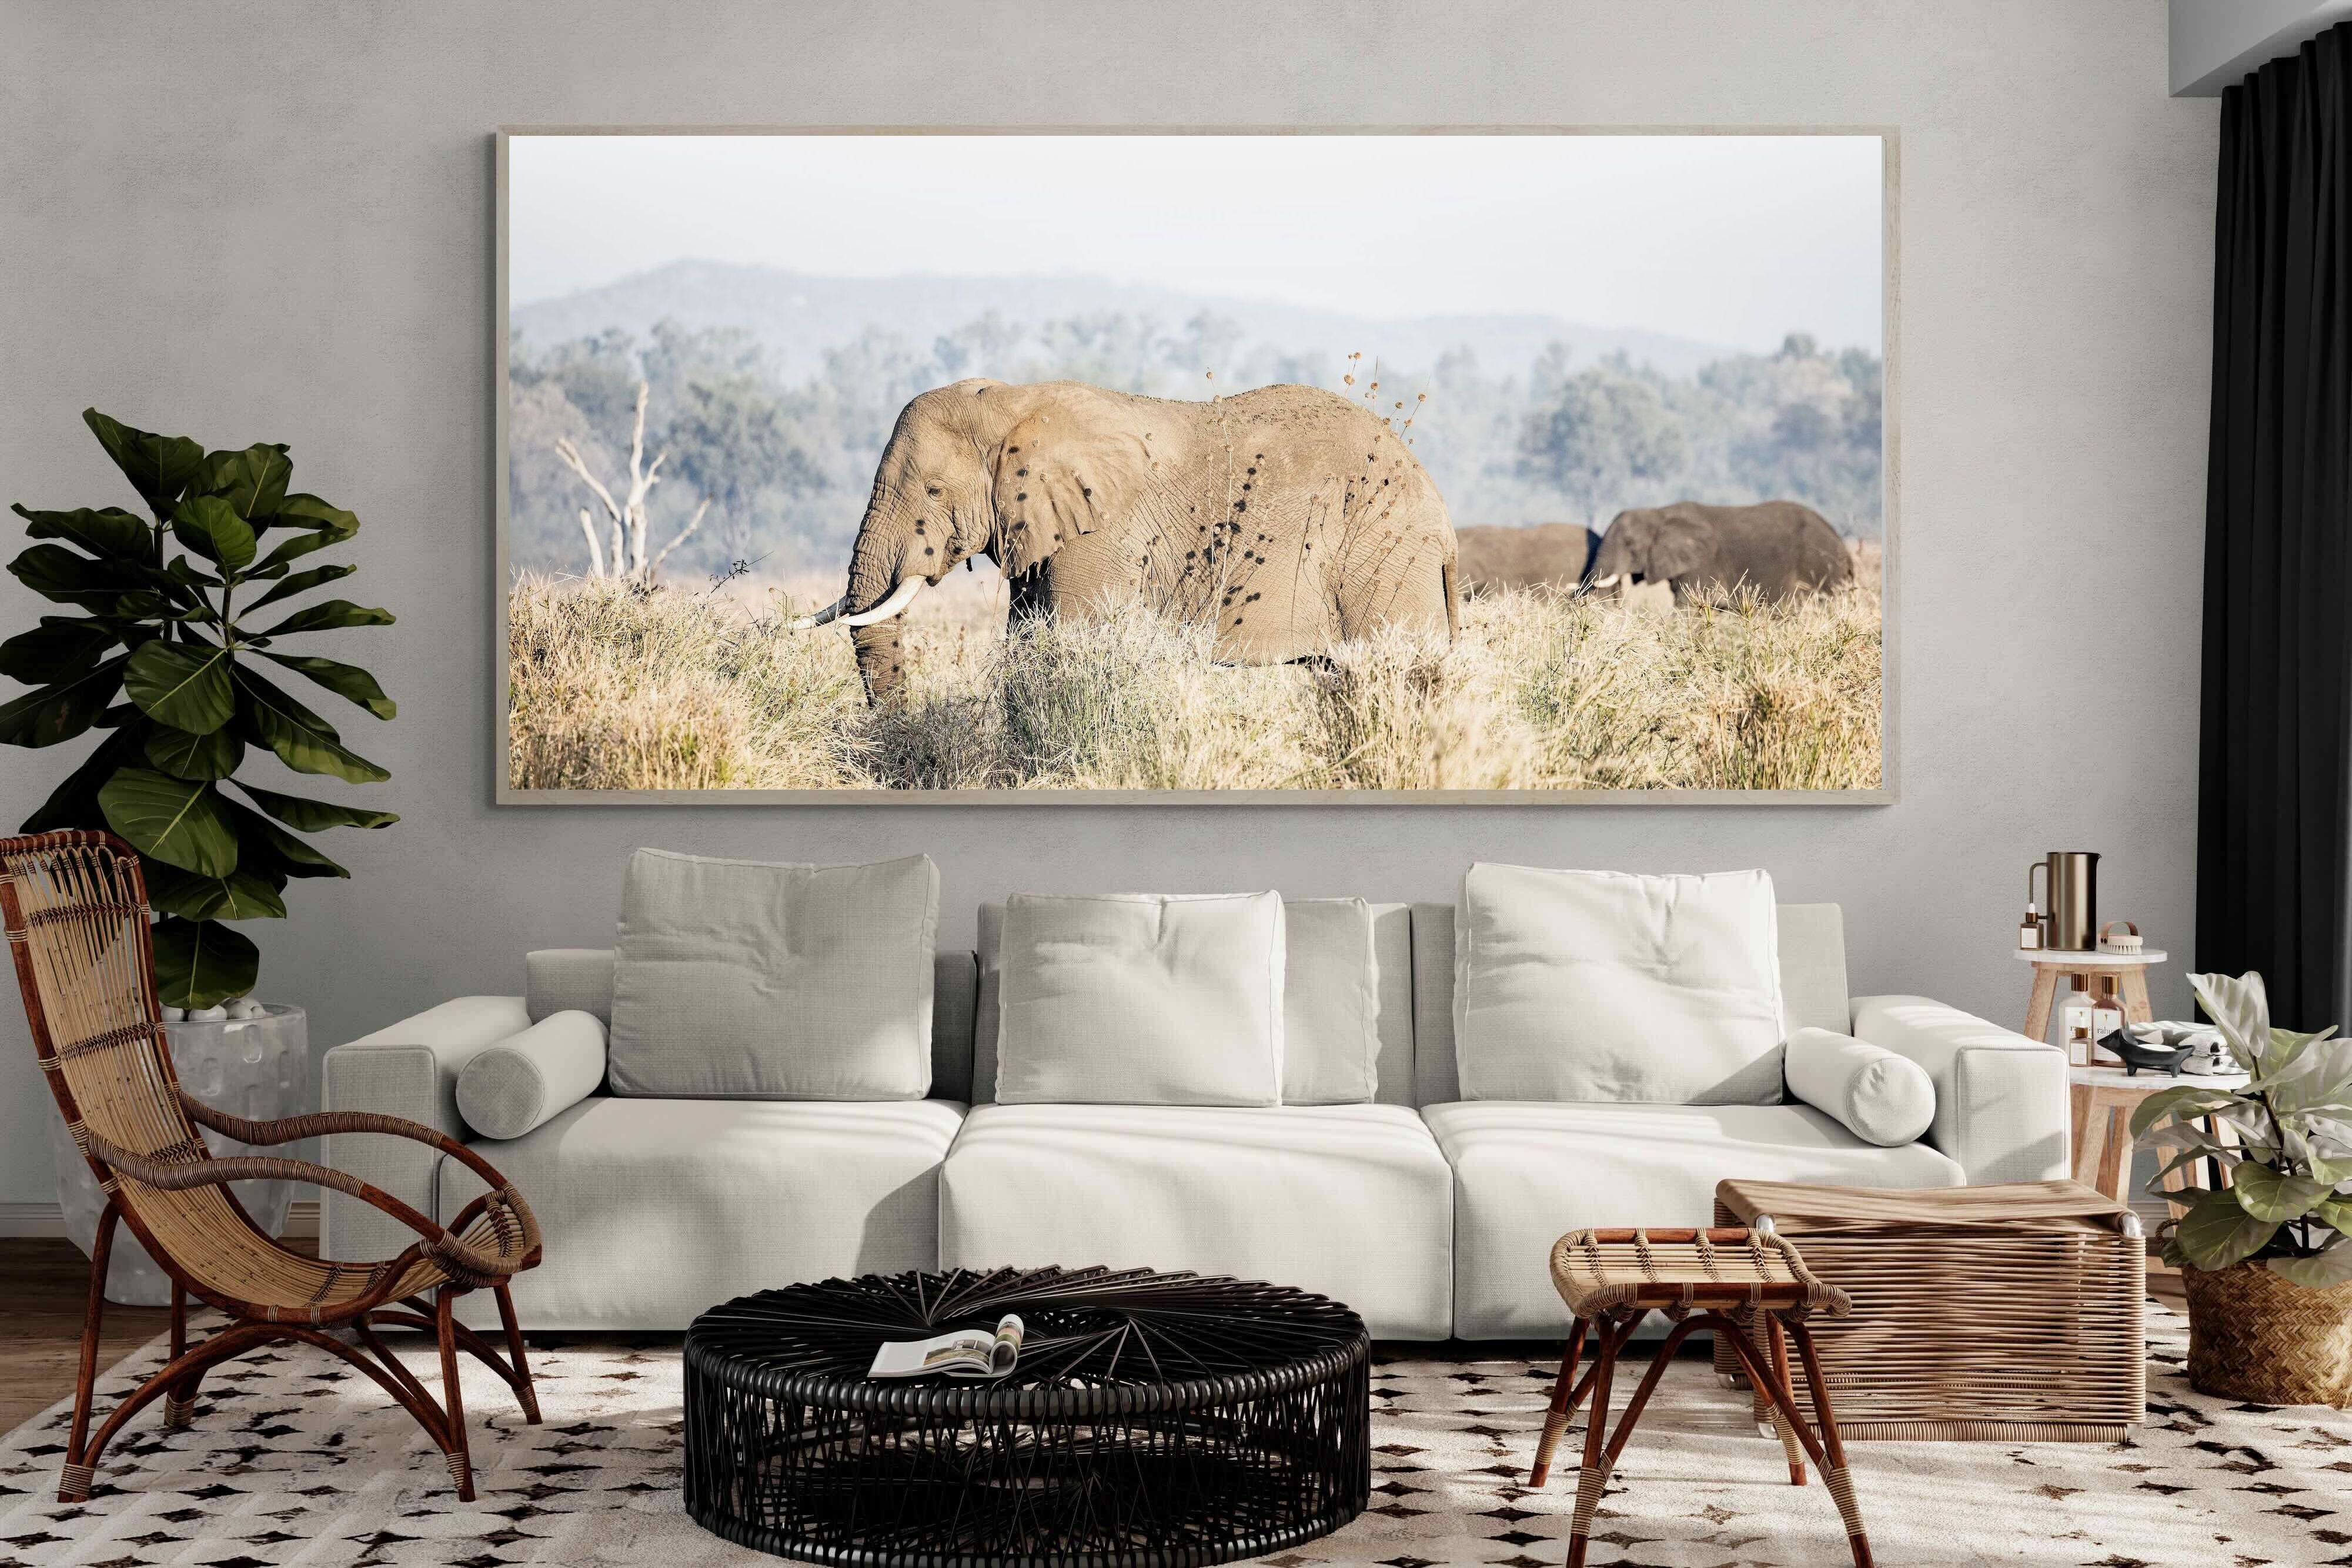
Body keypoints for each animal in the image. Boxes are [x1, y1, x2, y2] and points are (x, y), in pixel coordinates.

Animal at [792, 379, 1460, 701]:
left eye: (932, 491)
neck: (1013, 401)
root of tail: (1443, 519)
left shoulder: (1101, 533)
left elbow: (1068, 647)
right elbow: (1029, 647)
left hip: (1383, 557)